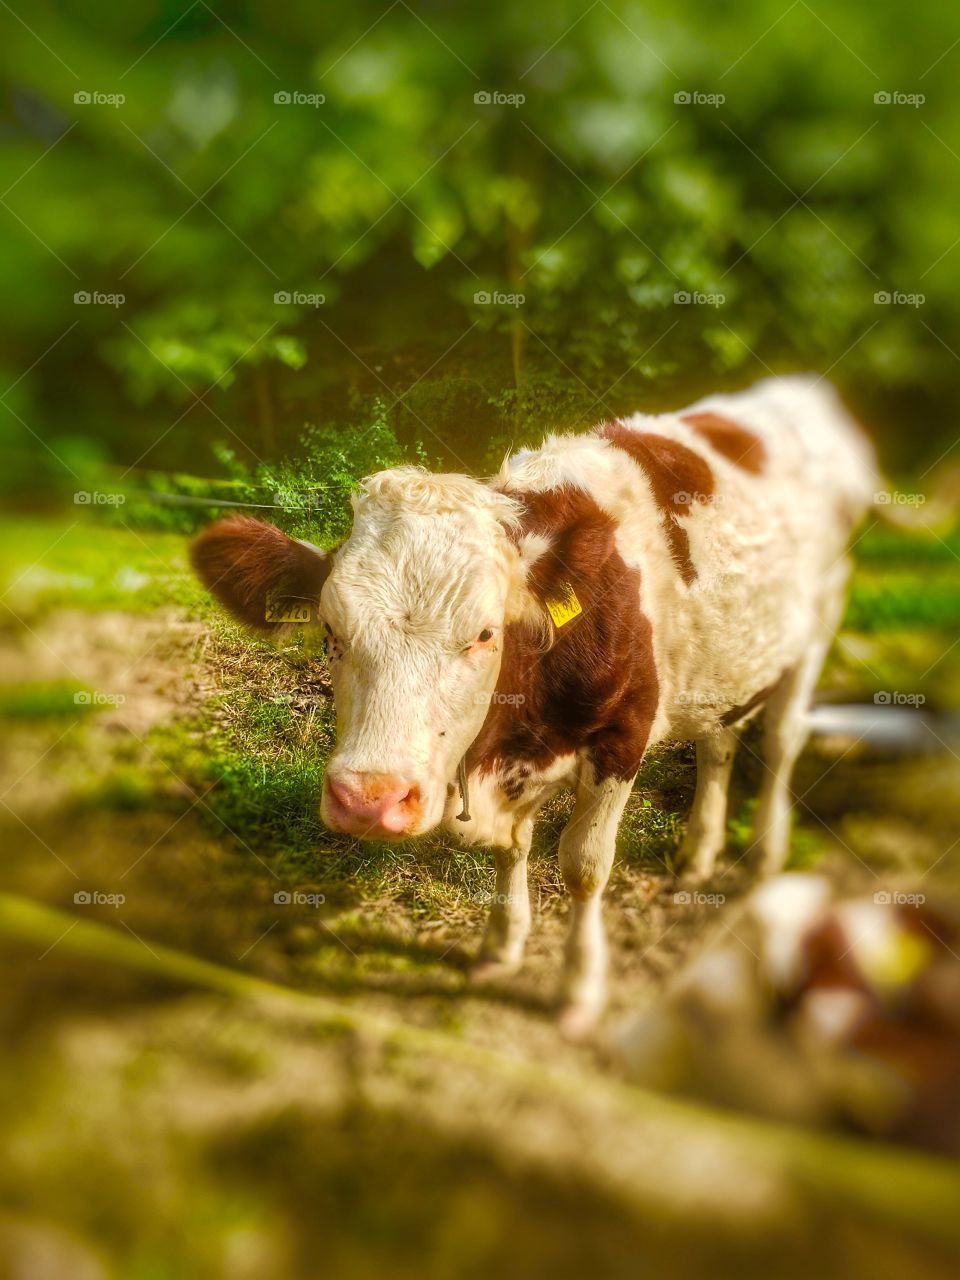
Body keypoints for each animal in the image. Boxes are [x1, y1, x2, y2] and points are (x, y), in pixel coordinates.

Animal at [191, 374, 876, 1034]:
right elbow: (511, 848)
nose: (369, 799)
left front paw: (578, 988)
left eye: (484, 633)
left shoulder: (622, 736)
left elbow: (584, 866)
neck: (512, 739)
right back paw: (698, 855)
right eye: (330, 631)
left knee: (783, 737)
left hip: (821, 618)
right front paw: (501, 947)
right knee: (719, 740)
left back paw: (764, 857)